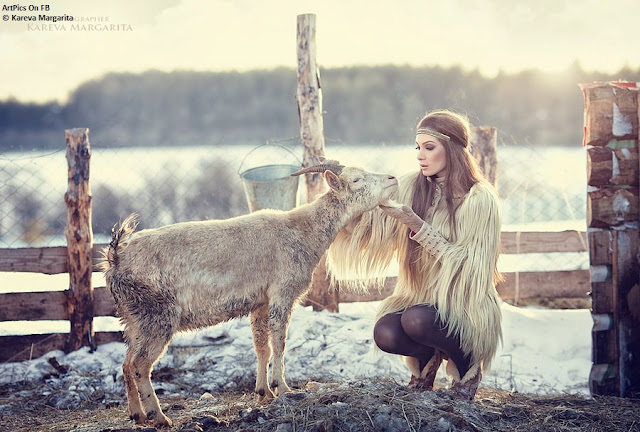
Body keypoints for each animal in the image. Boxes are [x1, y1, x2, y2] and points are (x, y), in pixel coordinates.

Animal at [100, 160, 398, 426]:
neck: (302, 231)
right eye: (356, 180)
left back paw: (137, 415)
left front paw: (264, 392)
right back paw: (159, 418)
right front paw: (284, 388)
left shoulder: (261, 302)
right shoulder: (281, 292)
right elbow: (279, 341)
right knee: (140, 364)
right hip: (155, 314)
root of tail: (116, 259)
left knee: (126, 363)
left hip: (134, 318)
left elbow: (261, 346)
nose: (392, 178)